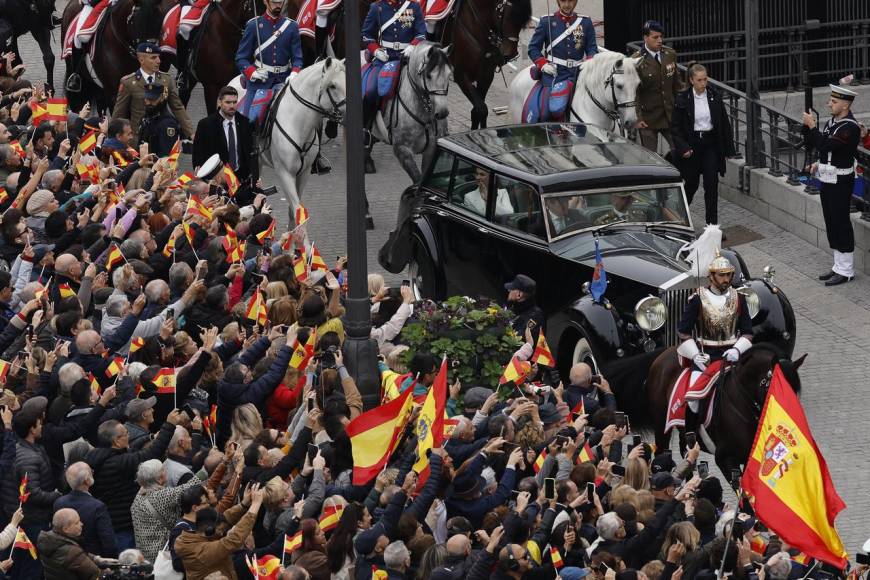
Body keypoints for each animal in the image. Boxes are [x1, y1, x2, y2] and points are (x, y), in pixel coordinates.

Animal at [232, 58, 348, 227]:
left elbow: (293, 210)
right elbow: (297, 208)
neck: (297, 123)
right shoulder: (285, 173)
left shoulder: (304, 173)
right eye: (332, 85)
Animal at [368, 42, 454, 182]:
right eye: (428, 75)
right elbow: (417, 180)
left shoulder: (431, 149)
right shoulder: (402, 150)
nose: (442, 113)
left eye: (449, 74)